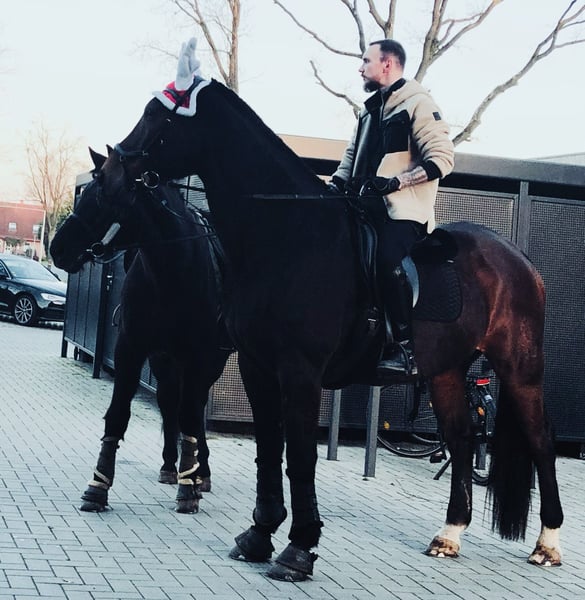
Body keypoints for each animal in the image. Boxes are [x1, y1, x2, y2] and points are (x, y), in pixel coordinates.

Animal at [50, 161, 231, 513]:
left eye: (103, 200)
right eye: (84, 194)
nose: (57, 248)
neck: (171, 271)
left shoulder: (198, 355)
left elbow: (191, 414)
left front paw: (189, 487)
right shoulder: (130, 348)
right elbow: (119, 413)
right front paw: (97, 486)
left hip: (210, 362)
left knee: (194, 406)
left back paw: (199, 472)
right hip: (164, 359)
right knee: (169, 401)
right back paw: (171, 465)